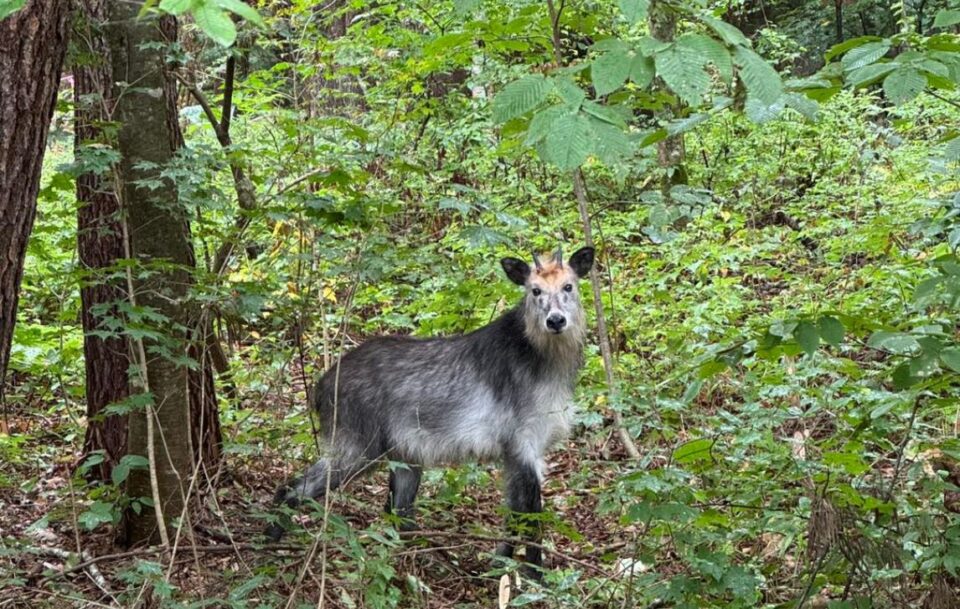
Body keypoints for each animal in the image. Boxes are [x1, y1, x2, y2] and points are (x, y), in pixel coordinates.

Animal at [267, 246, 595, 576]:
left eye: (569, 286)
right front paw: (535, 577)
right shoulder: (524, 445)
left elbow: (513, 516)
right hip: (357, 449)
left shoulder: (515, 455)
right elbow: (531, 519)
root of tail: (320, 387)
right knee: (294, 488)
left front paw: (499, 565)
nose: (556, 321)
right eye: (535, 290)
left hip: (404, 457)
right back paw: (269, 542)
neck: (540, 360)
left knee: (398, 513)